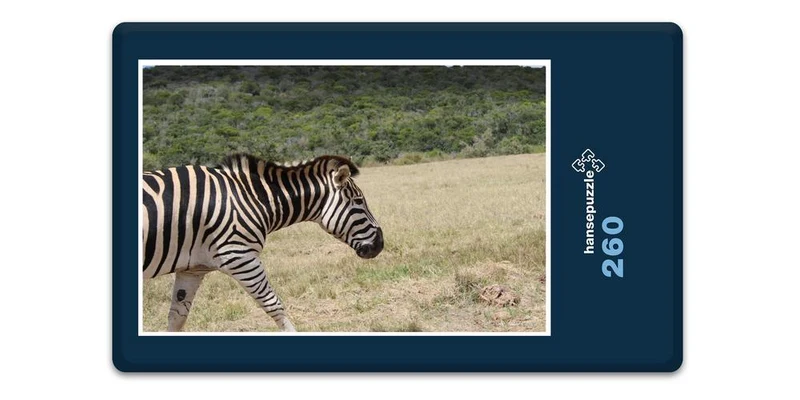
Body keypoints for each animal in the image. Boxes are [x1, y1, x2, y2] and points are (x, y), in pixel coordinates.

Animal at [142, 154, 383, 332]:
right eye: (359, 202)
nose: (380, 243)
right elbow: (273, 304)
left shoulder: (192, 269)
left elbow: (177, 317)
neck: (252, 198)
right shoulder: (240, 256)